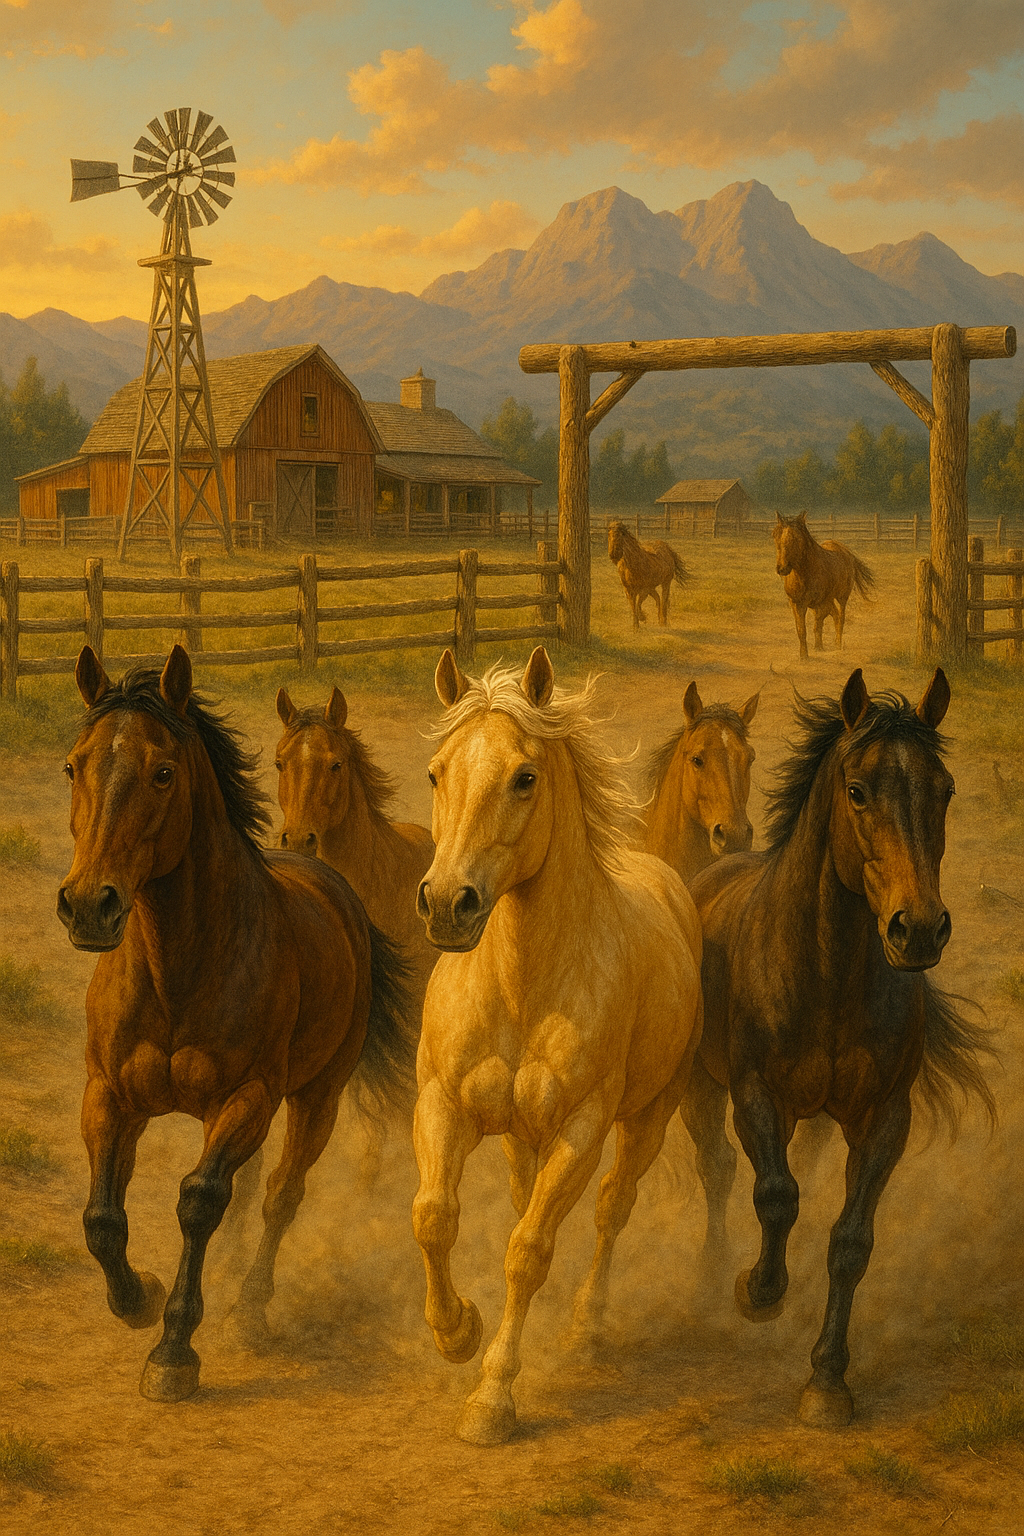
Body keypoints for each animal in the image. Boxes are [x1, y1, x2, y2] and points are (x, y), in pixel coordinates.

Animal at [57, 645, 413, 1403]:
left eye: (163, 772)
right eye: (74, 766)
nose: (89, 905)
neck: (180, 967)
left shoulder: (246, 1098)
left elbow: (199, 1201)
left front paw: (173, 1351)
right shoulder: (110, 1097)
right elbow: (102, 1219)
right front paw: (136, 1298)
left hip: (313, 1100)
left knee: (279, 1195)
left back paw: (250, 1306)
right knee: (248, 1193)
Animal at [413, 647, 703, 1445]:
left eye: (524, 777)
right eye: (437, 772)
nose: (447, 904)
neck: (524, 983)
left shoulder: (581, 1130)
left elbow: (528, 1250)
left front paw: (492, 1399)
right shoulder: (443, 1105)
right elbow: (434, 1217)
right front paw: (457, 1331)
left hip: (647, 1119)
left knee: (611, 1209)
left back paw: (587, 1327)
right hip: (521, 1132)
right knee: (522, 1197)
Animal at [682, 667, 994, 1427]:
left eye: (944, 789)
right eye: (857, 791)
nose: (918, 929)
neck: (825, 970)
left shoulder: (883, 1117)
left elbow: (851, 1240)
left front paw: (827, 1381)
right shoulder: (754, 1095)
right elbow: (774, 1195)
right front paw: (757, 1291)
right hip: (702, 1090)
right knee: (716, 1170)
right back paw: (712, 1275)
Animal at [773, 511, 875, 658]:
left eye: (797, 538)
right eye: (775, 535)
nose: (782, 568)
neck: (804, 574)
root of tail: (845, 551)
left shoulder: (820, 603)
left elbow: (818, 624)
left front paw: (815, 649)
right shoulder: (796, 603)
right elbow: (801, 630)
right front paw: (805, 654)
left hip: (841, 597)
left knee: (840, 617)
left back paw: (838, 645)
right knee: (835, 615)